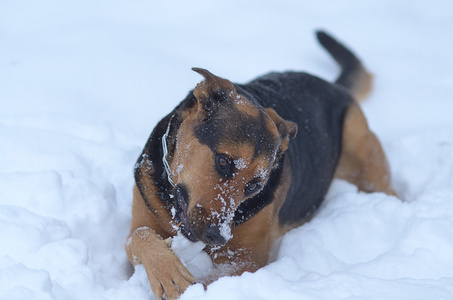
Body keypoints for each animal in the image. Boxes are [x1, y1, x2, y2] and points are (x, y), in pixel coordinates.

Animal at [124, 31, 396, 298]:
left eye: (254, 185)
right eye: (223, 161)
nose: (217, 237)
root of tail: (332, 86)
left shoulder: (247, 260)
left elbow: (210, 282)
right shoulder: (140, 219)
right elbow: (140, 235)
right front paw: (168, 271)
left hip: (359, 142)